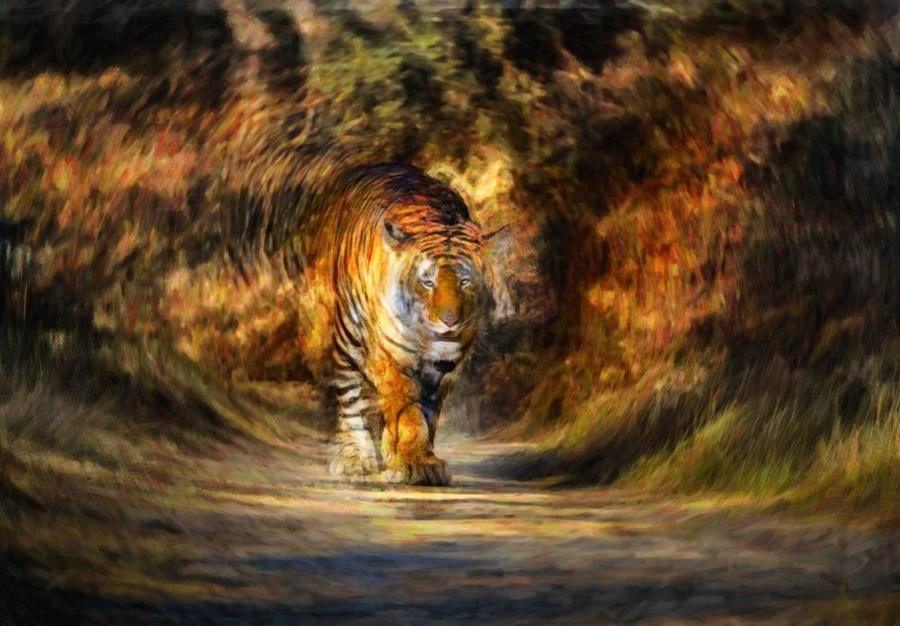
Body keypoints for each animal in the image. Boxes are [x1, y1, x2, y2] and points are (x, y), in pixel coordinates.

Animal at [306, 163, 502, 486]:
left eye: (465, 281)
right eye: (427, 282)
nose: (450, 321)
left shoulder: (443, 367)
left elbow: (427, 412)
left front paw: (410, 457)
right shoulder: (388, 354)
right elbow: (407, 408)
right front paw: (415, 462)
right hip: (348, 333)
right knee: (350, 395)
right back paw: (356, 458)